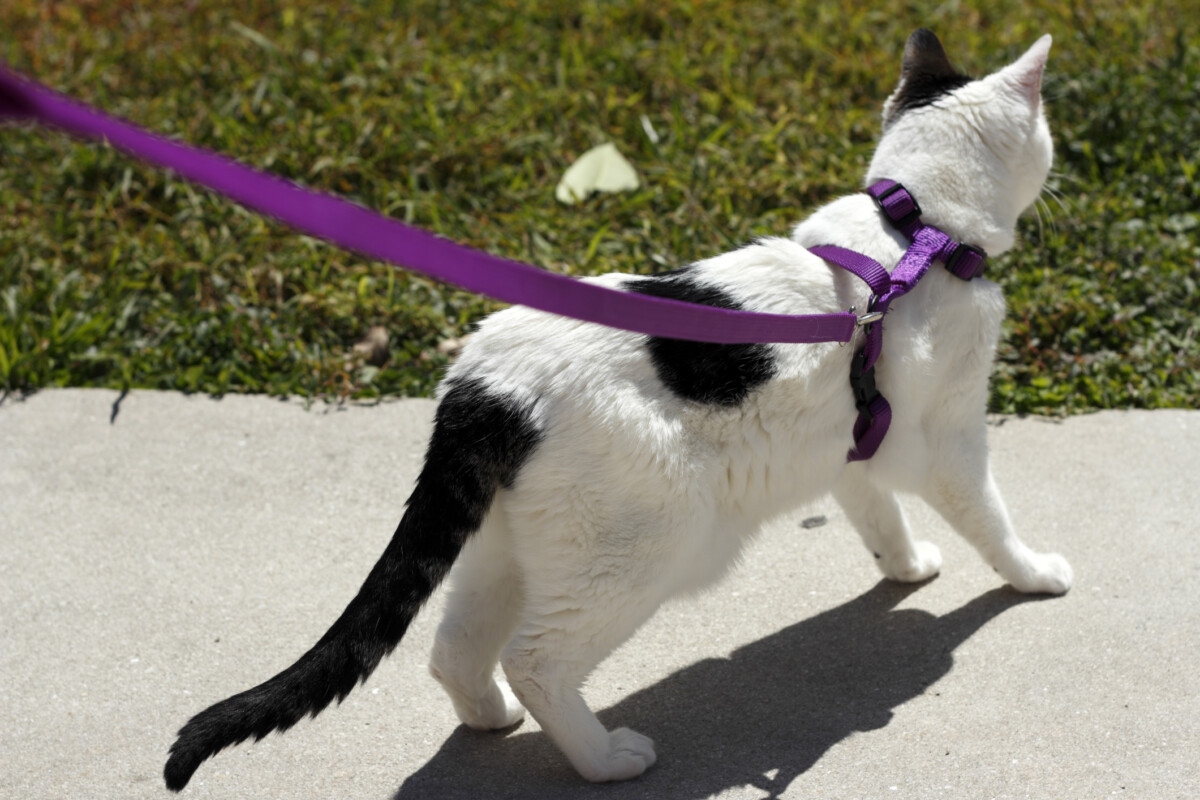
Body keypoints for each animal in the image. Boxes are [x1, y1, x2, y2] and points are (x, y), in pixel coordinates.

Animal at [164, 28, 1075, 791]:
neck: (913, 230)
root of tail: (483, 387)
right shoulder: (948, 436)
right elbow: (988, 517)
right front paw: (1033, 574)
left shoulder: (849, 438)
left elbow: (873, 506)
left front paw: (904, 565)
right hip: (644, 547)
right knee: (536, 658)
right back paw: (603, 759)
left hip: (508, 547)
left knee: (455, 648)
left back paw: (489, 718)